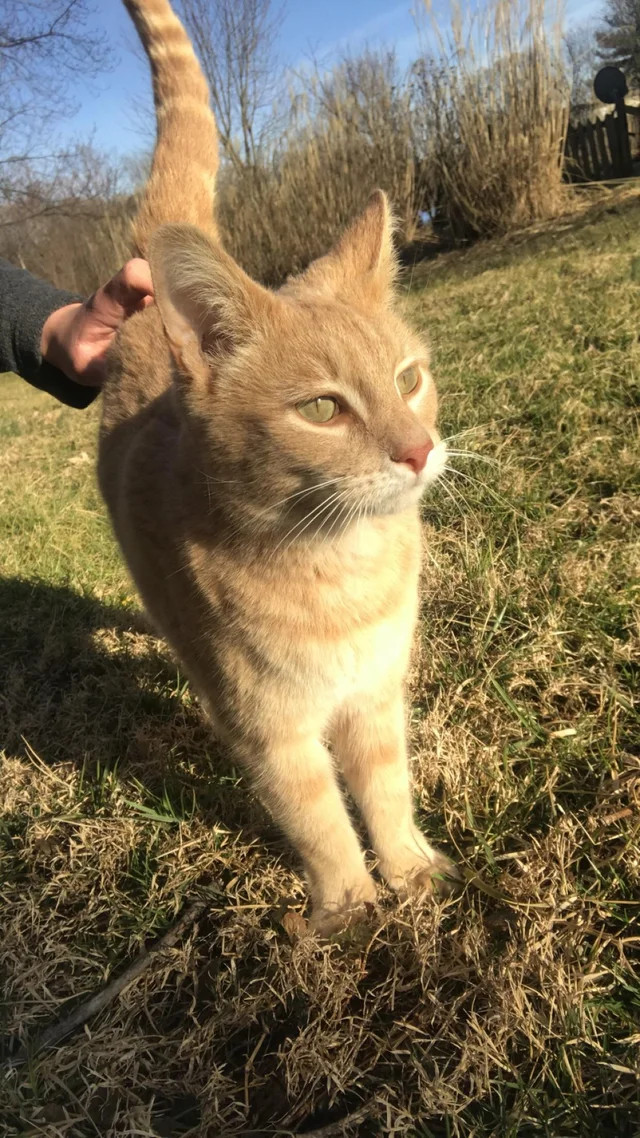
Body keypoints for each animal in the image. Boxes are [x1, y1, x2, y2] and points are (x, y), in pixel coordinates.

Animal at [100, 0, 453, 933]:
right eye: (323, 409)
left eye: (409, 379)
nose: (417, 448)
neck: (338, 565)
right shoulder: (271, 732)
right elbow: (319, 820)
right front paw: (351, 908)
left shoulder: (375, 698)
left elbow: (385, 791)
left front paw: (407, 872)